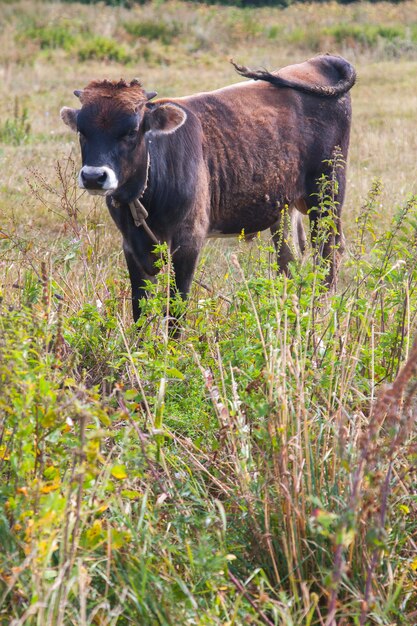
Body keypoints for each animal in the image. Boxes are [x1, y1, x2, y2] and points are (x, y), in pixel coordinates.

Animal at [61, 53, 354, 324]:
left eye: (132, 131)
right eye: (82, 131)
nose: (94, 176)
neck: (143, 199)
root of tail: (323, 60)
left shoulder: (188, 241)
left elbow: (177, 307)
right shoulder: (132, 246)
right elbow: (140, 310)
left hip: (327, 196)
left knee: (329, 254)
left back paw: (320, 314)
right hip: (284, 208)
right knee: (290, 259)